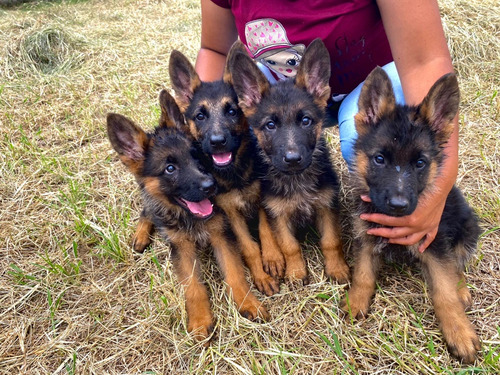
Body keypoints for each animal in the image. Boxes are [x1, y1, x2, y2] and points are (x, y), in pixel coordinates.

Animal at [106, 89, 270, 342]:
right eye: (170, 168)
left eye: (196, 157)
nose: (211, 186)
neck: (189, 218)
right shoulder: (181, 247)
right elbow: (193, 287)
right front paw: (201, 320)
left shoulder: (221, 235)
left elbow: (235, 274)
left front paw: (248, 303)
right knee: (147, 209)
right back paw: (141, 235)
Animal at [167, 46, 282, 296]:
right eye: (200, 116)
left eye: (231, 111)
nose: (218, 142)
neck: (234, 175)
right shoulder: (231, 214)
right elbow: (249, 247)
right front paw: (260, 275)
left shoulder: (260, 200)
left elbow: (266, 231)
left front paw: (273, 257)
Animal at [229, 39, 350, 284]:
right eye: (270, 125)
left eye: (305, 121)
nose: (293, 159)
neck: (297, 179)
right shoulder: (278, 215)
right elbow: (289, 246)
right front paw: (295, 272)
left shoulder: (326, 206)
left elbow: (331, 241)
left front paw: (337, 268)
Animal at [340, 67, 480, 364]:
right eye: (379, 159)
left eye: (420, 163)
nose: (398, 205)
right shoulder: (366, 238)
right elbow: (363, 275)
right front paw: (356, 302)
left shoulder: (434, 243)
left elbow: (444, 292)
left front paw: (459, 332)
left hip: (467, 229)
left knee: (457, 266)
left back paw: (462, 291)